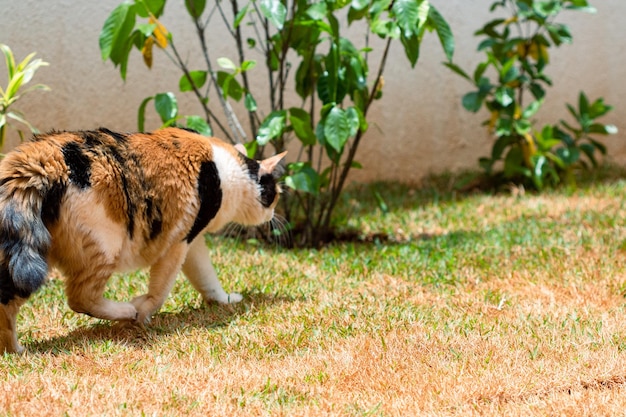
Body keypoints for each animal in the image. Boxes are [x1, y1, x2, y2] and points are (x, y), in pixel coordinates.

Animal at [0, 126, 286, 352]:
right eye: (276, 193)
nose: (274, 214)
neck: (226, 172)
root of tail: (41, 158)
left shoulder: (192, 239)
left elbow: (206, 275)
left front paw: (223, 299)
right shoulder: (179, 241)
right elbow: (161, 289)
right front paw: (142, 313)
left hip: (24, 259)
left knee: (8, 304)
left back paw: (15, 351)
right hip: (102, 246)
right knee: (79, 297)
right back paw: (126, 310)